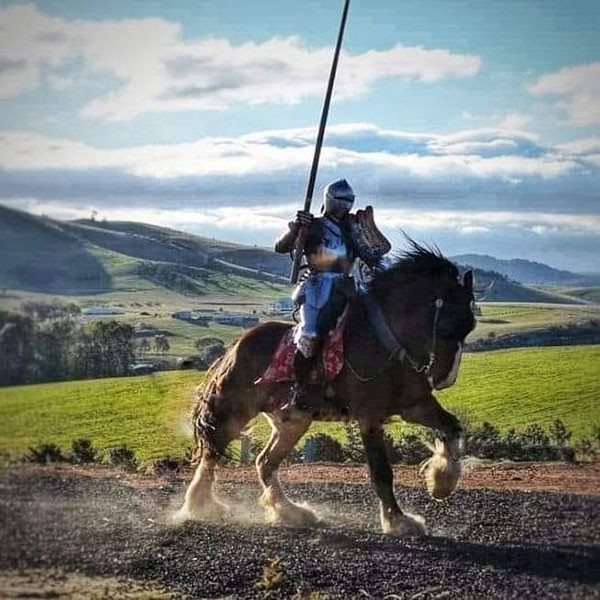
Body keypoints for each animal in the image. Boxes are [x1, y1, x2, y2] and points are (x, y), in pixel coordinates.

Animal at [176, 244, 476, 536]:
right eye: (447, 325)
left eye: (469, 326)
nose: (443, 378)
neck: (386, 340)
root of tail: (236, 346)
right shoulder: (369, 417)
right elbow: (381, 472)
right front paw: (398, 521)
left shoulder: (415, 406)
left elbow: (452, 426)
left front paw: (441, 482)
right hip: (236, 411)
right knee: (213, 452)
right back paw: (201, 506)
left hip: (292, 421)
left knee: (265, 463)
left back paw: (292, 512)